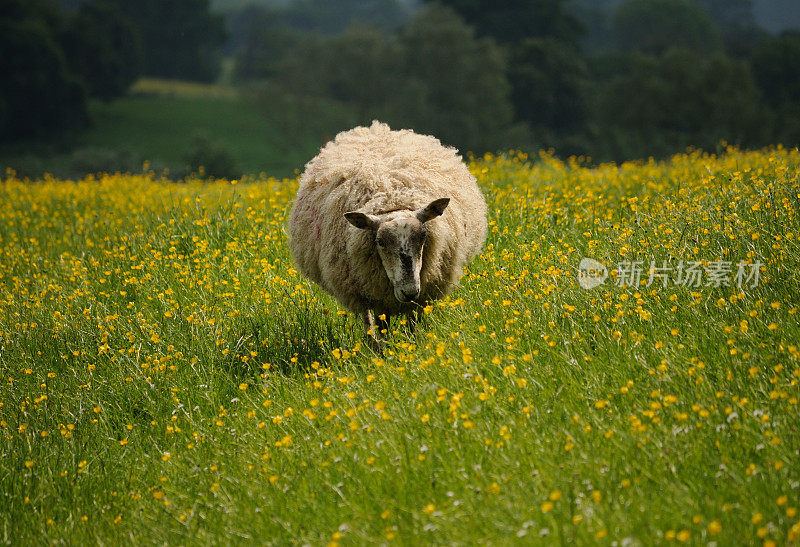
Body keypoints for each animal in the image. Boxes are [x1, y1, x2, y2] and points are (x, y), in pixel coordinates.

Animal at [288, 121, 488, 342]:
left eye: (423, 236)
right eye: (380, 242)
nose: (409, 291)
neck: (392, 198)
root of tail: (376, 128)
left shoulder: (419, 294)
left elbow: (412, 322)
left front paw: (412, 344)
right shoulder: (376, 293)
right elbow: (380, 324)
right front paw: (385, 349)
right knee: (368, 321)